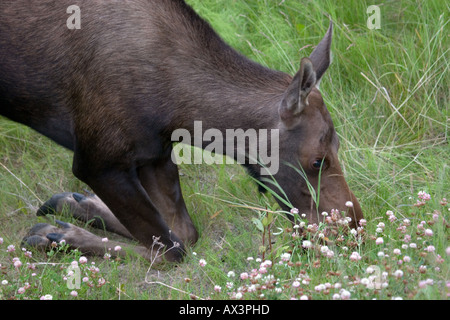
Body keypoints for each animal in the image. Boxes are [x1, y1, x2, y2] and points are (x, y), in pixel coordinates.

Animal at [0, 1, 364, 264]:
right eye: (317, 161)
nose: (354, 227)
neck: (179, 110)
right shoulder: (97, 159)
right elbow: (171, 249)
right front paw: (59, 236)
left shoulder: (154, 153)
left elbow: (183, 232)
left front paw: (80, 209)